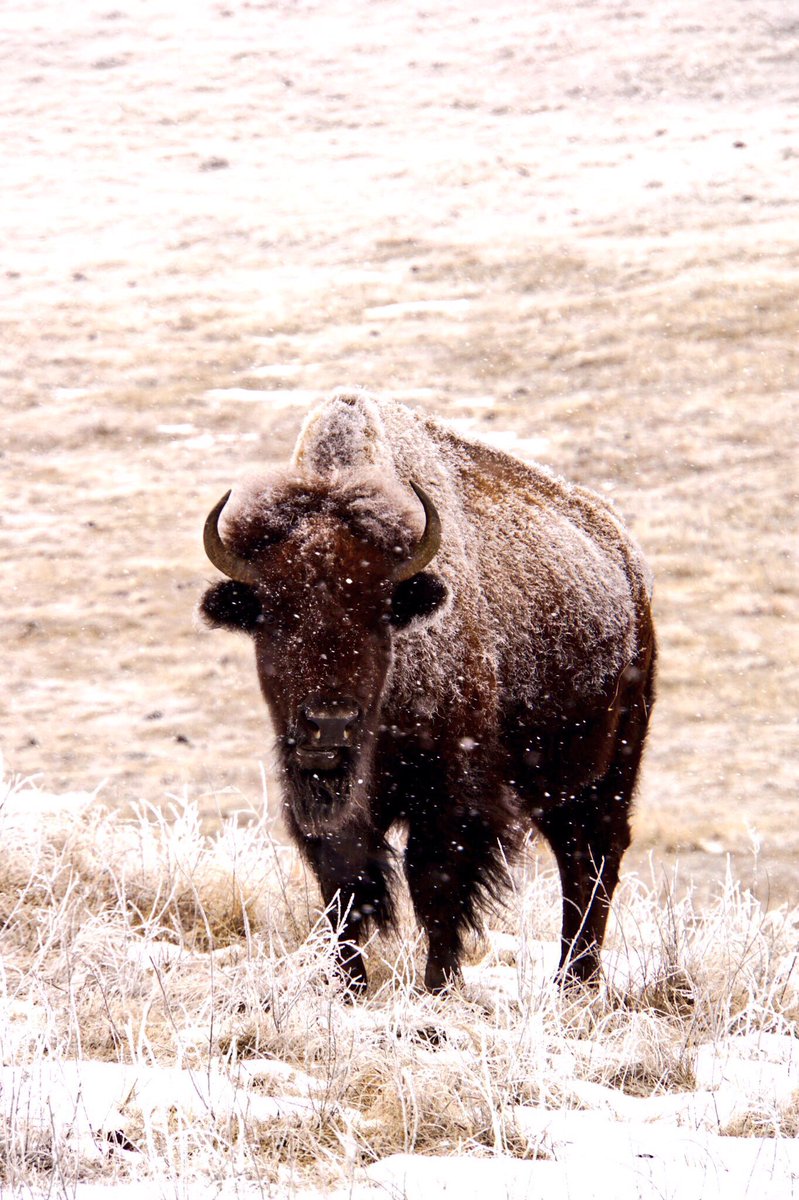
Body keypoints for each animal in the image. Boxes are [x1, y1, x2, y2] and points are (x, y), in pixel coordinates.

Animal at [200, 390, 656, 992]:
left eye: (378, 611)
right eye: (273, 615)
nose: (329, 726)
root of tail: (627, 559)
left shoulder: (454, 797)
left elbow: (435, 883)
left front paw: (439, 986)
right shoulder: (329, 806)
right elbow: (345, 886)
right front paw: (350, 986)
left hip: (611, 768)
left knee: (595, 859)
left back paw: (575, 981)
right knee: (576, 859)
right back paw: (570, 981)